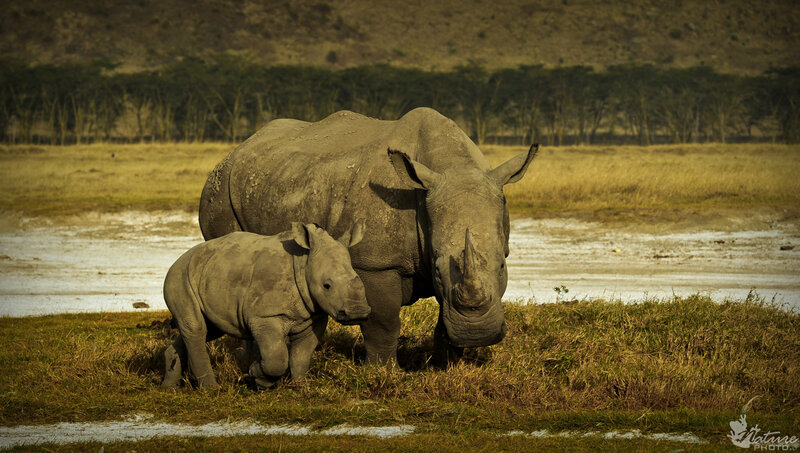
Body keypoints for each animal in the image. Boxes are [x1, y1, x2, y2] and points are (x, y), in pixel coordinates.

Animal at [162, 221, 370, 389]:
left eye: (361, 281)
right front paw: (257, 376)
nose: (358, 312)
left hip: (208, 274)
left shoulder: (314, 316)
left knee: (207, 328)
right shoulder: (265, 316)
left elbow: (301, 356)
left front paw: (301, 388)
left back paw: (169, 388)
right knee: (196, 328)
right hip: (180, 276)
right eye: (327, 286)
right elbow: (276, 357)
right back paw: (211, 390)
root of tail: (179, 259)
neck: (304, 262)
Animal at [199, 107, 537, 364]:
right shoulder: (375, 263)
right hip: (220, 189)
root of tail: (236, 150)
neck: (452, 164)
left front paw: (447, 365)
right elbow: (383, 322)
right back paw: (249, 358)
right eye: (438, 269)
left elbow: (444, 316)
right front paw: (384, 370)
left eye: (502, 265)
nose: (478, 334)